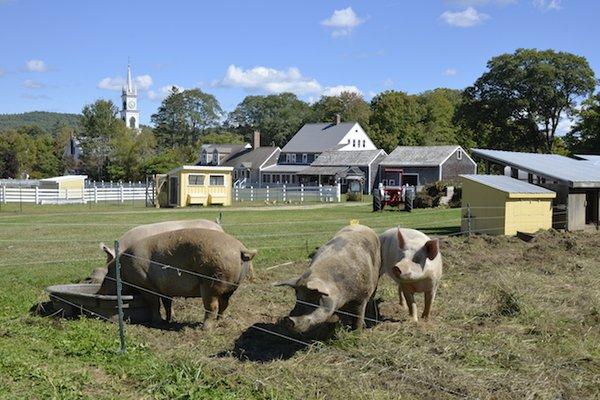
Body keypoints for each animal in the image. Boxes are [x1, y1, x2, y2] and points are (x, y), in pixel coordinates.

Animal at [97, 228, 256, 328]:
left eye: (105, 276)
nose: (98, 293)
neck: (122, 269)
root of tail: (240, 249)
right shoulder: (164, 288)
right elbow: (167, 303)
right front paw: (169, 320)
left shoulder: (146, 284)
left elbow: (154, 304)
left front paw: (157, 322)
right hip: (232, 286)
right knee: (224, 304)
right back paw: (219, 323)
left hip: (211, 282)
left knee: (212, 306)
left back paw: (204, 328)